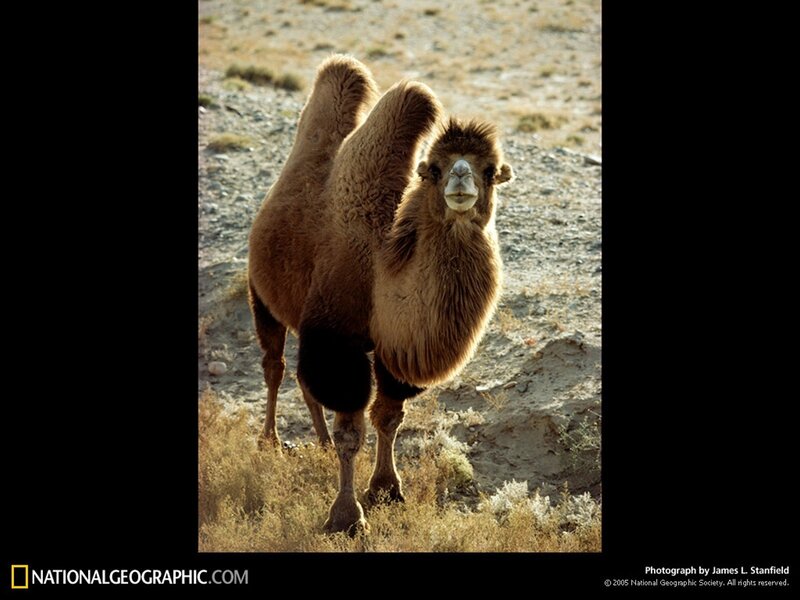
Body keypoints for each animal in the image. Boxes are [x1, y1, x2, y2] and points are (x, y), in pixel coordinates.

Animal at [248, 55, 513, 534]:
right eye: (435, 167)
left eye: (489, 170)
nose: (460, 181)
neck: (380, 269)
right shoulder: (338, 340)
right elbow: (351, 432)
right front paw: (345, 516)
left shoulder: (393, 350)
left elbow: (388, 418)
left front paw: (387, 490)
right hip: (260, 292)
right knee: (274, 367)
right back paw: (270, 441)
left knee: (302, 381)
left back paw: (316, 442)